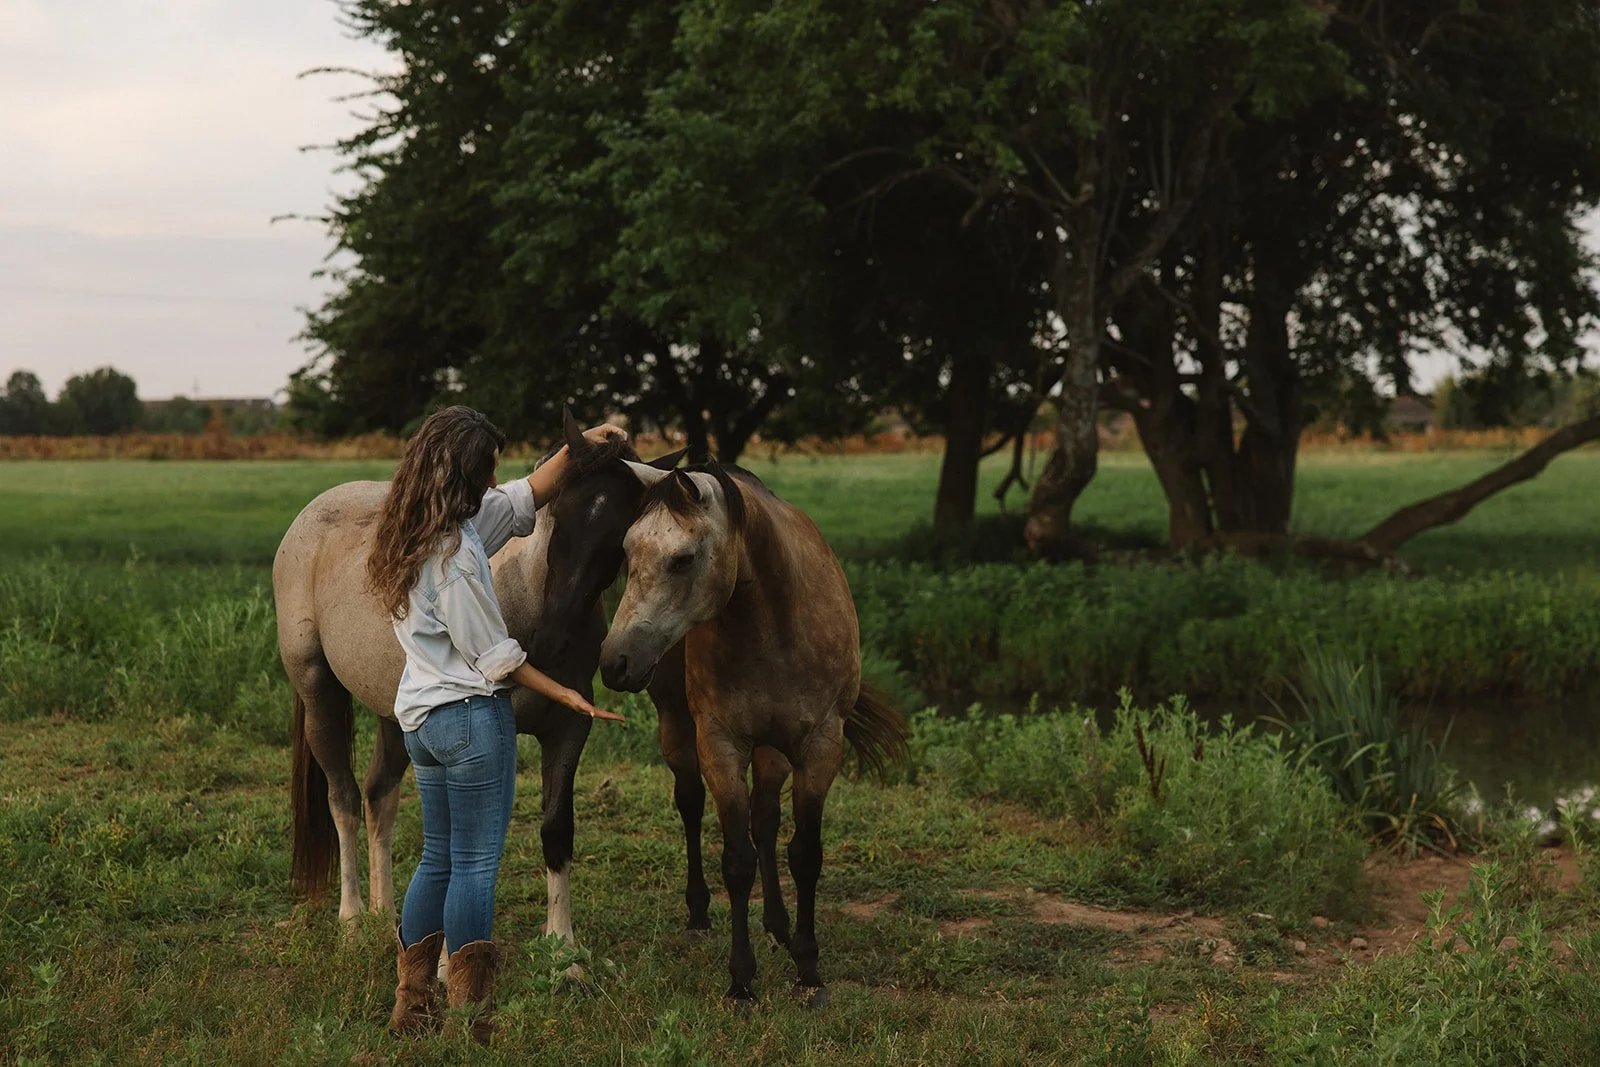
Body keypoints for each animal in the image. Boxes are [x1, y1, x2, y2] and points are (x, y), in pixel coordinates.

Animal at [599, 459, 908, 1007]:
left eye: (683, 559)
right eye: (628, 552)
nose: (615, 662)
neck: (775, 625)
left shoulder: (818, 747)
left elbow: (803, 853)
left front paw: (808, 968)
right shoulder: (721, 745)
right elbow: (737, 860)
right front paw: (741, 981)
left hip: (773, 752)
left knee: (765, 819)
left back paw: (779, 925)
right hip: (679, 730)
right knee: (691, 804)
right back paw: (699, 914)